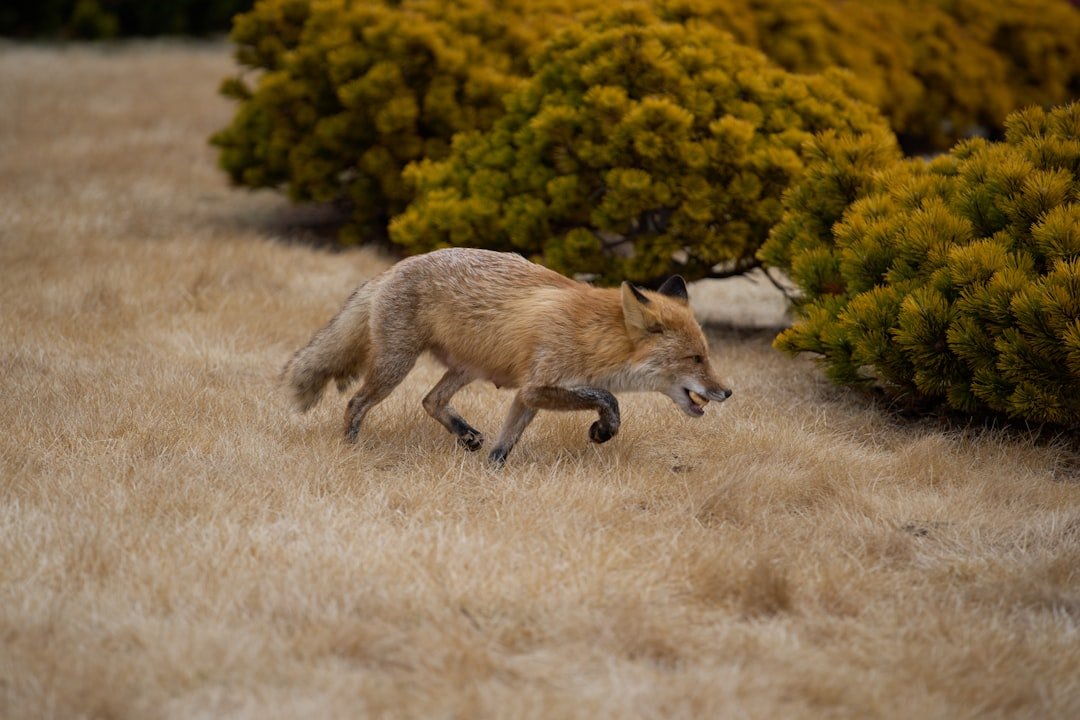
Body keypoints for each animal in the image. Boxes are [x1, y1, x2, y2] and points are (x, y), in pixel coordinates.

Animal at [283, 247, 732, 465]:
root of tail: (394, 267)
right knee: (356, 402)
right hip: (396, 365)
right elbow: (608, 398)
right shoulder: (539, 386)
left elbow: (506, 442)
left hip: (467, 368)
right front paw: (603, 431)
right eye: (695, 359)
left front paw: (492, 472)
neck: (595, 337)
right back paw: (350, 445)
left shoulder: (525, 395)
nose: (728, 392)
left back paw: (465, 434)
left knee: (430, 400)